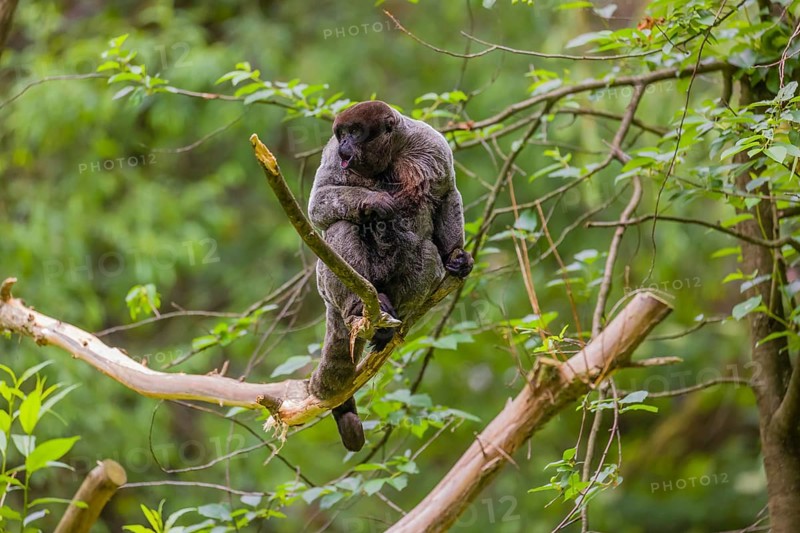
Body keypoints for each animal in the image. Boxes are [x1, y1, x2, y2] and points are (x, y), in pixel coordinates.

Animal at [307, 100, 473, 451]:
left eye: (355, 132)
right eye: (341, 134)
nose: (345, 144)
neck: (391, 156)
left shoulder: (432, 144)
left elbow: (446, 193)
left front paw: (456, 254)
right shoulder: (331, 156)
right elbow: (318, 204)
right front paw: (374, 202)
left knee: (427, 252)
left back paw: (391, 323)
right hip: (329, 284)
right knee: (341, 226)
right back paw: (358, 306)